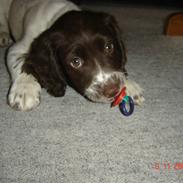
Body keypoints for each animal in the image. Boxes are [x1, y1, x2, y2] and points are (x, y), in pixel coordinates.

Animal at [0, 0, 144, 111]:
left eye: (109, 47)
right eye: (76, 62)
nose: (112, 90)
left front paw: (129, 85)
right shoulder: (18, 47)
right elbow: (23, 63)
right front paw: (24, 89)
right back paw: (3, 35)